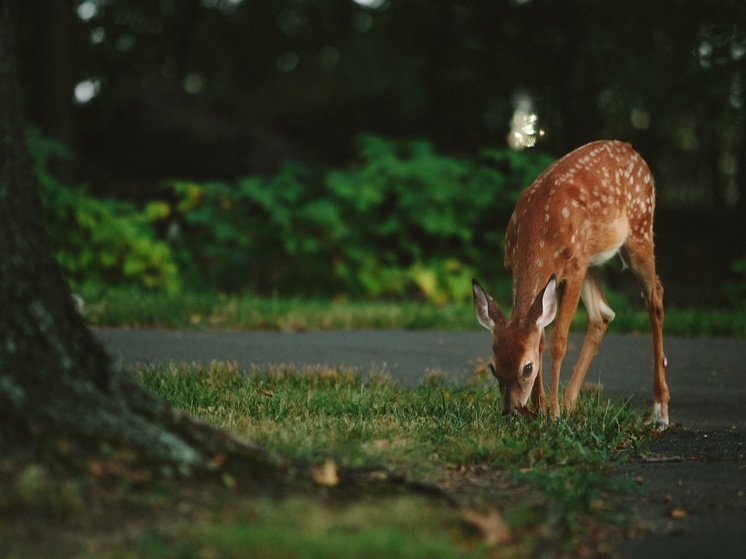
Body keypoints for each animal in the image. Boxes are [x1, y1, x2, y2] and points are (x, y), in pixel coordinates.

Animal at [474, 140, 672, 434]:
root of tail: (632, 150)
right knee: (602, 314)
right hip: (593, 259)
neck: (539, 231)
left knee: (654, 297)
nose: (510, 411)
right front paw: (541, 408)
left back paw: (660, 412)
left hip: (639, 229)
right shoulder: (519, 268)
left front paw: (552, 413)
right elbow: (540, 337)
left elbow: (558, 340)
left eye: (527, 368)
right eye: (493, 367)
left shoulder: (574, 269)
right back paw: (570, 402)